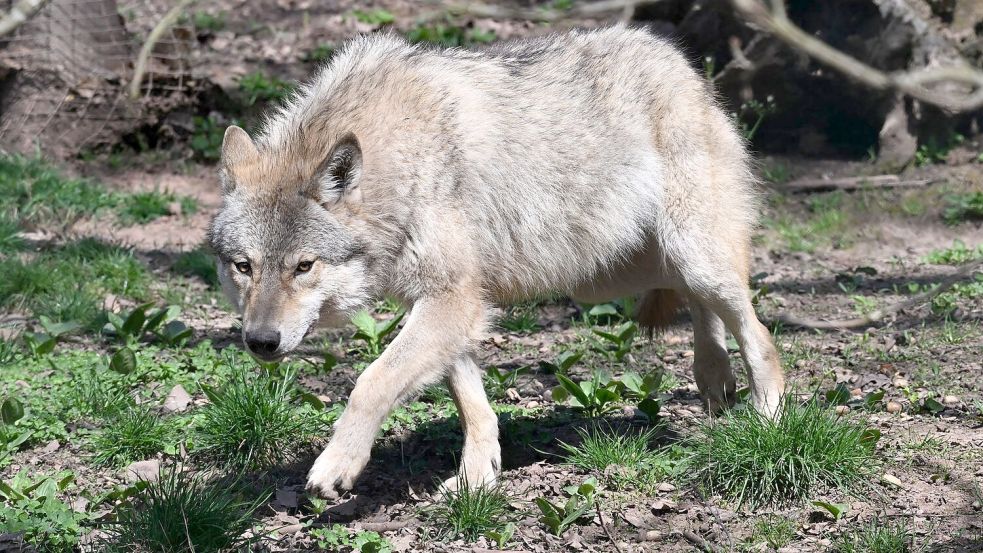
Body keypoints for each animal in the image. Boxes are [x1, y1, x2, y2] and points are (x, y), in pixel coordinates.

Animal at [207, 26, 786, 498]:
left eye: (303, 266)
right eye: (244, 267)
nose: (260, 342)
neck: (401, 164)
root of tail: (682, 63)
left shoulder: (453, 299)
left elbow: (372, 382)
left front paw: (337, 465)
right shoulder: (450, 303)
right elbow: (471, 402)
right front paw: (476, 478)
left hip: (688, 255)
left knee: (758, 331)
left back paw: (767, 419)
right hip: (609, 275)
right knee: (697, 302)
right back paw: (714, 378)